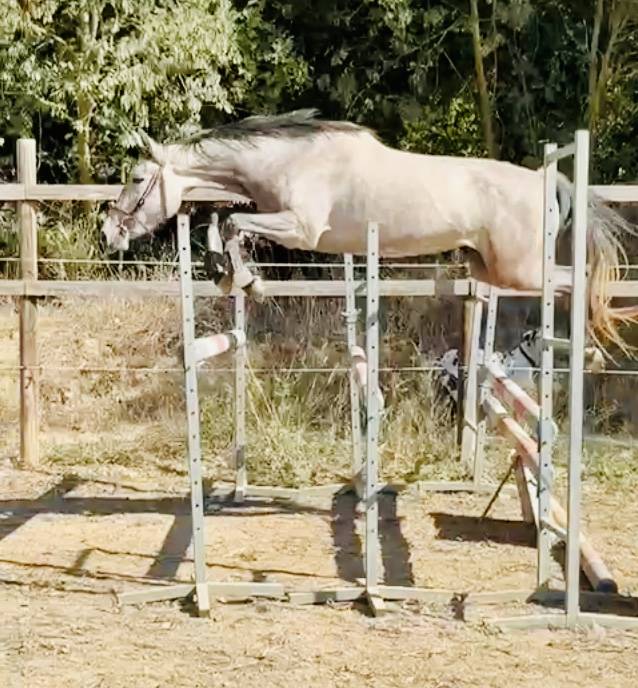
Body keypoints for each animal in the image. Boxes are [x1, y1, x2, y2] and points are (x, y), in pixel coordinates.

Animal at [100, 109, 638, 355]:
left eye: (136, 178)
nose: (110, 233)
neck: (286, 158)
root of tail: (546, 179)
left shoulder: (301, 229)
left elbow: (231, 221)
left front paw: (248, 281)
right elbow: (218, 220)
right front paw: (227, 274)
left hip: (522, 269)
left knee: (578, 283)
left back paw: (587, 350)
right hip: (491, 268)